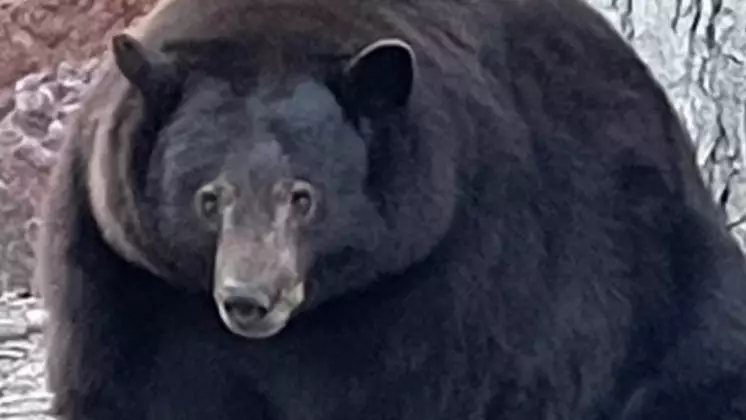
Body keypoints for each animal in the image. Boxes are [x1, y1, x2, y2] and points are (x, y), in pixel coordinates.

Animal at [36, 0, 746, 416]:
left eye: (304, 196)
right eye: (209, 197)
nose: (249, 299)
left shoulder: (451, 275)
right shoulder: (125, 278)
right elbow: (129, 388)